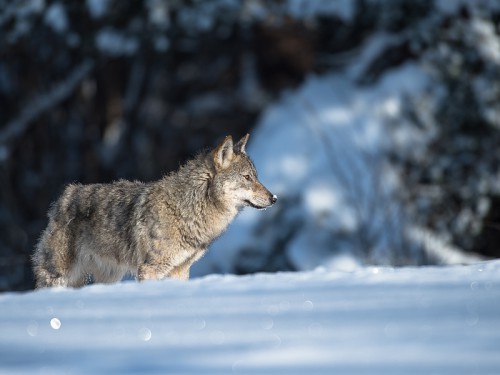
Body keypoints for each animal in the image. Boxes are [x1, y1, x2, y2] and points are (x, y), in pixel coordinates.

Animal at [32, 134, 278, 288]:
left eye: (256, 176)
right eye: (247, 177)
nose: (274, 198)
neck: (187, 209)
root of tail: (65, 195)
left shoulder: (180, 271)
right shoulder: (150, 269)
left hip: (109, 277)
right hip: (58, 276)